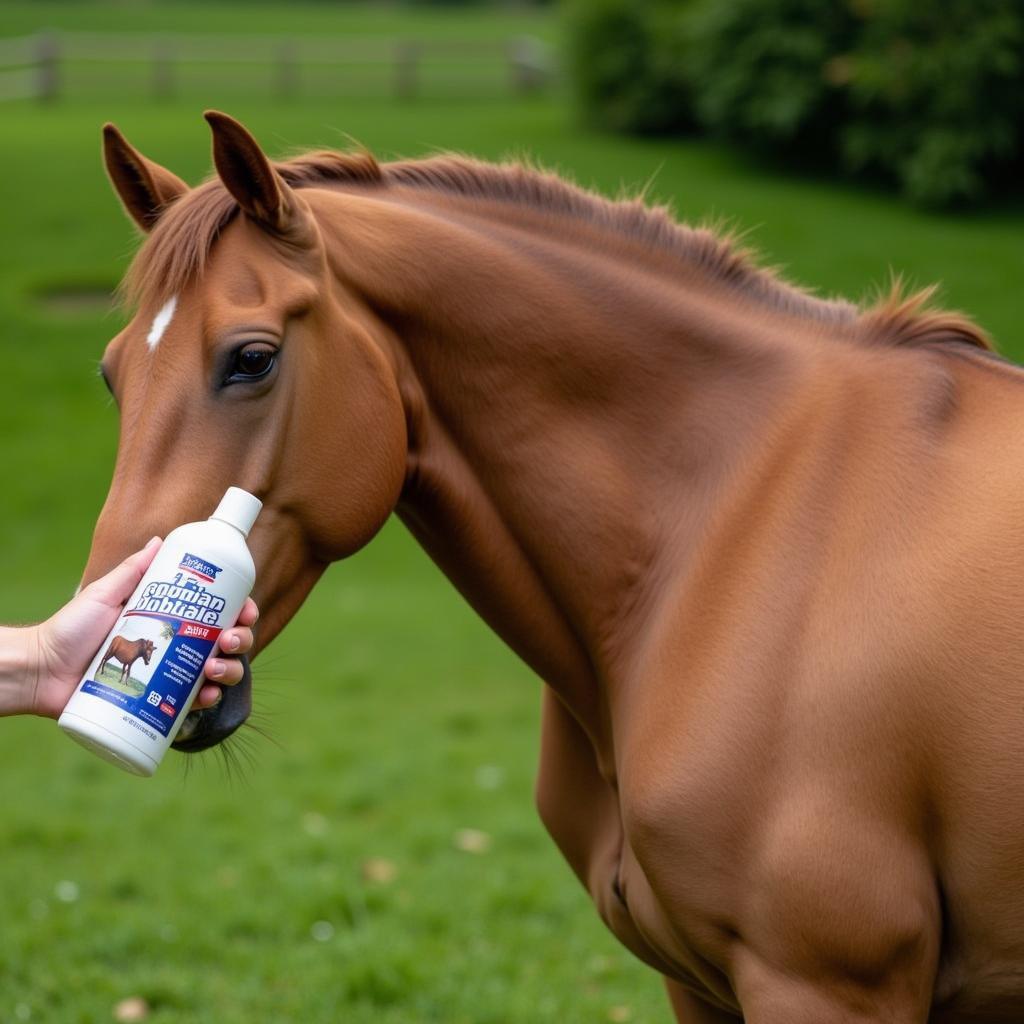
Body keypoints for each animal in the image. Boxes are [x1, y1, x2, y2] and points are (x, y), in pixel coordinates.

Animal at [77, 112, 1024, 1024]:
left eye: (253, 357)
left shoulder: (824, 982)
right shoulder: (702, 985)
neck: (739, 515)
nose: (107, 625)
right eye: (112, 376)